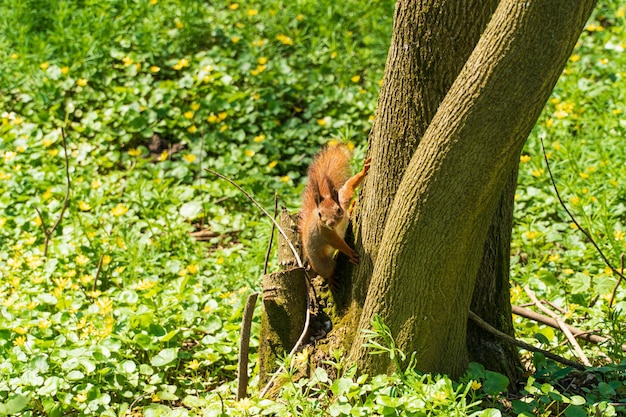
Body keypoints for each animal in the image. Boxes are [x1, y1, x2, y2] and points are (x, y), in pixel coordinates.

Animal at [298, 144, 368, 286]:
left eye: (338, 210)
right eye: (320, 214)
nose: (330, 223)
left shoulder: (342, 199)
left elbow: (349, 186)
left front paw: (363, 171)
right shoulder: (325, 231)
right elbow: (337, 243)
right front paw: (350, 253)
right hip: (322, 263)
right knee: (326, 271)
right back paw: (331, 280)